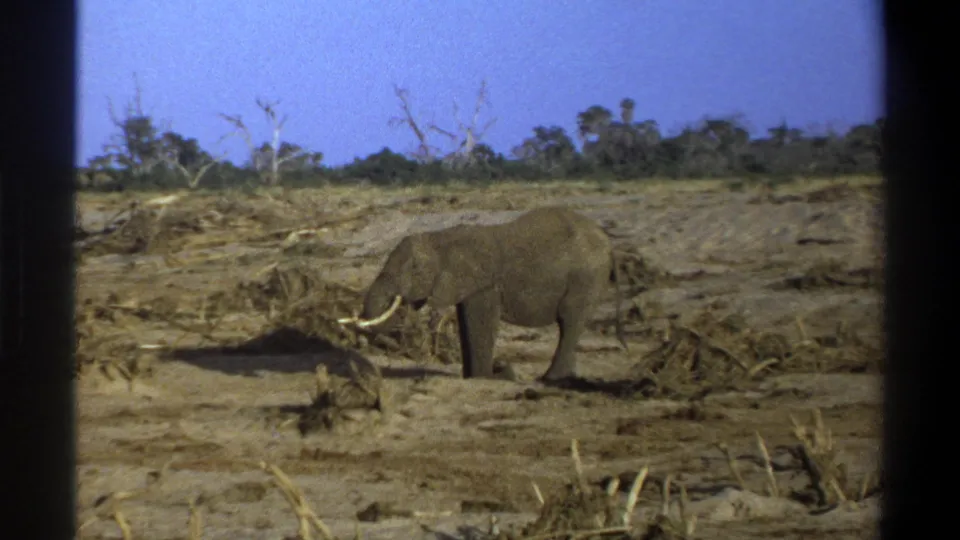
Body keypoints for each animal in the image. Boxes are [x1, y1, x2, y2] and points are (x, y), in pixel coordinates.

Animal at [339, 206, 628, 382]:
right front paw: (472, 377)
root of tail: (609, 245)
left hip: (586, 278)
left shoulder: (484, 283)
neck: (442, 238)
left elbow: (480, 322)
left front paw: (486, 378)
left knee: (569, 320)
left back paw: (550, 379)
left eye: (415, 269)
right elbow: (466, 322)